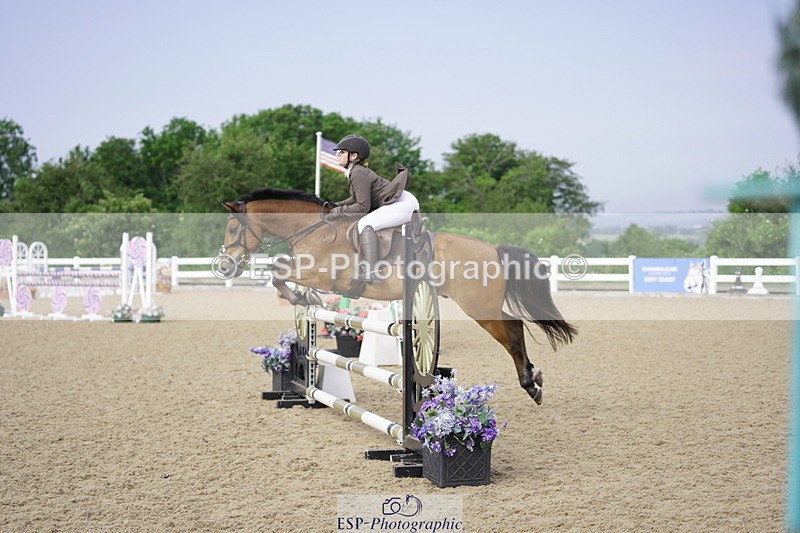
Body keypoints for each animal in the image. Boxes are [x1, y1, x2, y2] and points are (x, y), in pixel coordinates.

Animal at [217, 188, 577, 405]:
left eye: (233, 228)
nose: (224, 265)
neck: (314, 230)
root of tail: (493, 249)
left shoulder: (320, 274)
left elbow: (279, 271)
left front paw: (304, 300)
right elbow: (280, 272)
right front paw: (307, 301)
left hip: (479, 307)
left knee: (512, 333)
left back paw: (530, 383)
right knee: (515, 329)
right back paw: (533, 377)